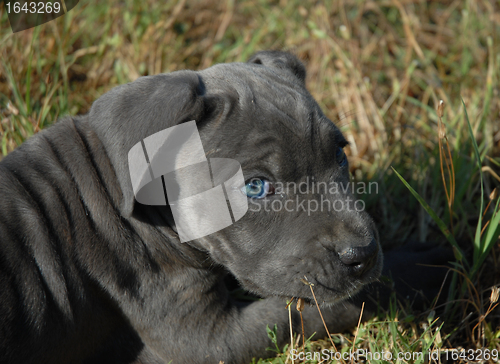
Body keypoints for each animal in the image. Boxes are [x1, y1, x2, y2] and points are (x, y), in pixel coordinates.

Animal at [0, 52, 446, 364]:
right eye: (255, 186)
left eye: (340, 154)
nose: (363, 255)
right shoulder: (208, 339)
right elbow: (308, 311)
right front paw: (421, 267)